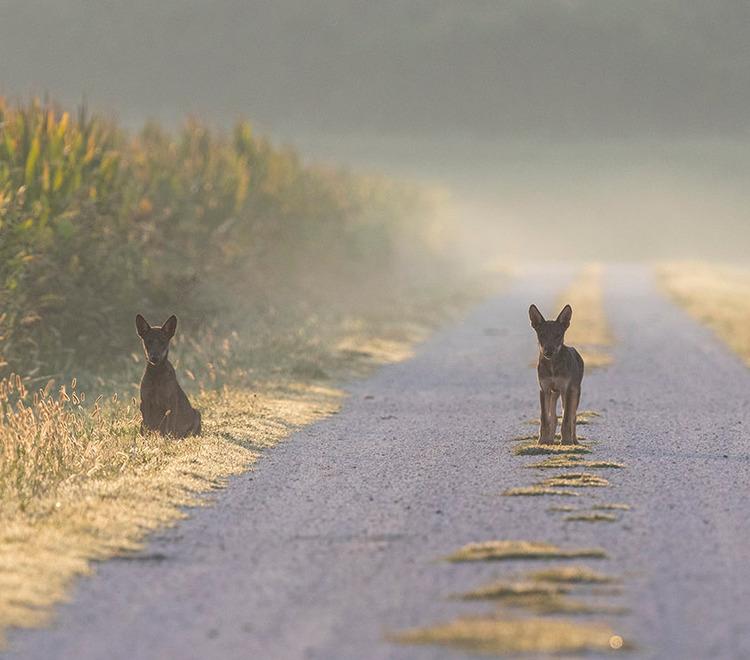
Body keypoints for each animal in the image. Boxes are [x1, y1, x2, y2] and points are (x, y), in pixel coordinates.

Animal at [529, 304, 584, 445]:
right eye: (542, 334)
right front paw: (542, 440)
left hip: (574, 391)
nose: (549, 351)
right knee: (553, 417)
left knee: (573, 416)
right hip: (555, 393)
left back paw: (574, 440)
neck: (552, 368)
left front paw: (566, 441)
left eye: (558, 335)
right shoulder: (544, 389)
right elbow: (544, 418)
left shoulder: (567, 389)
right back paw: (550, 439)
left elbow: (566, 419)